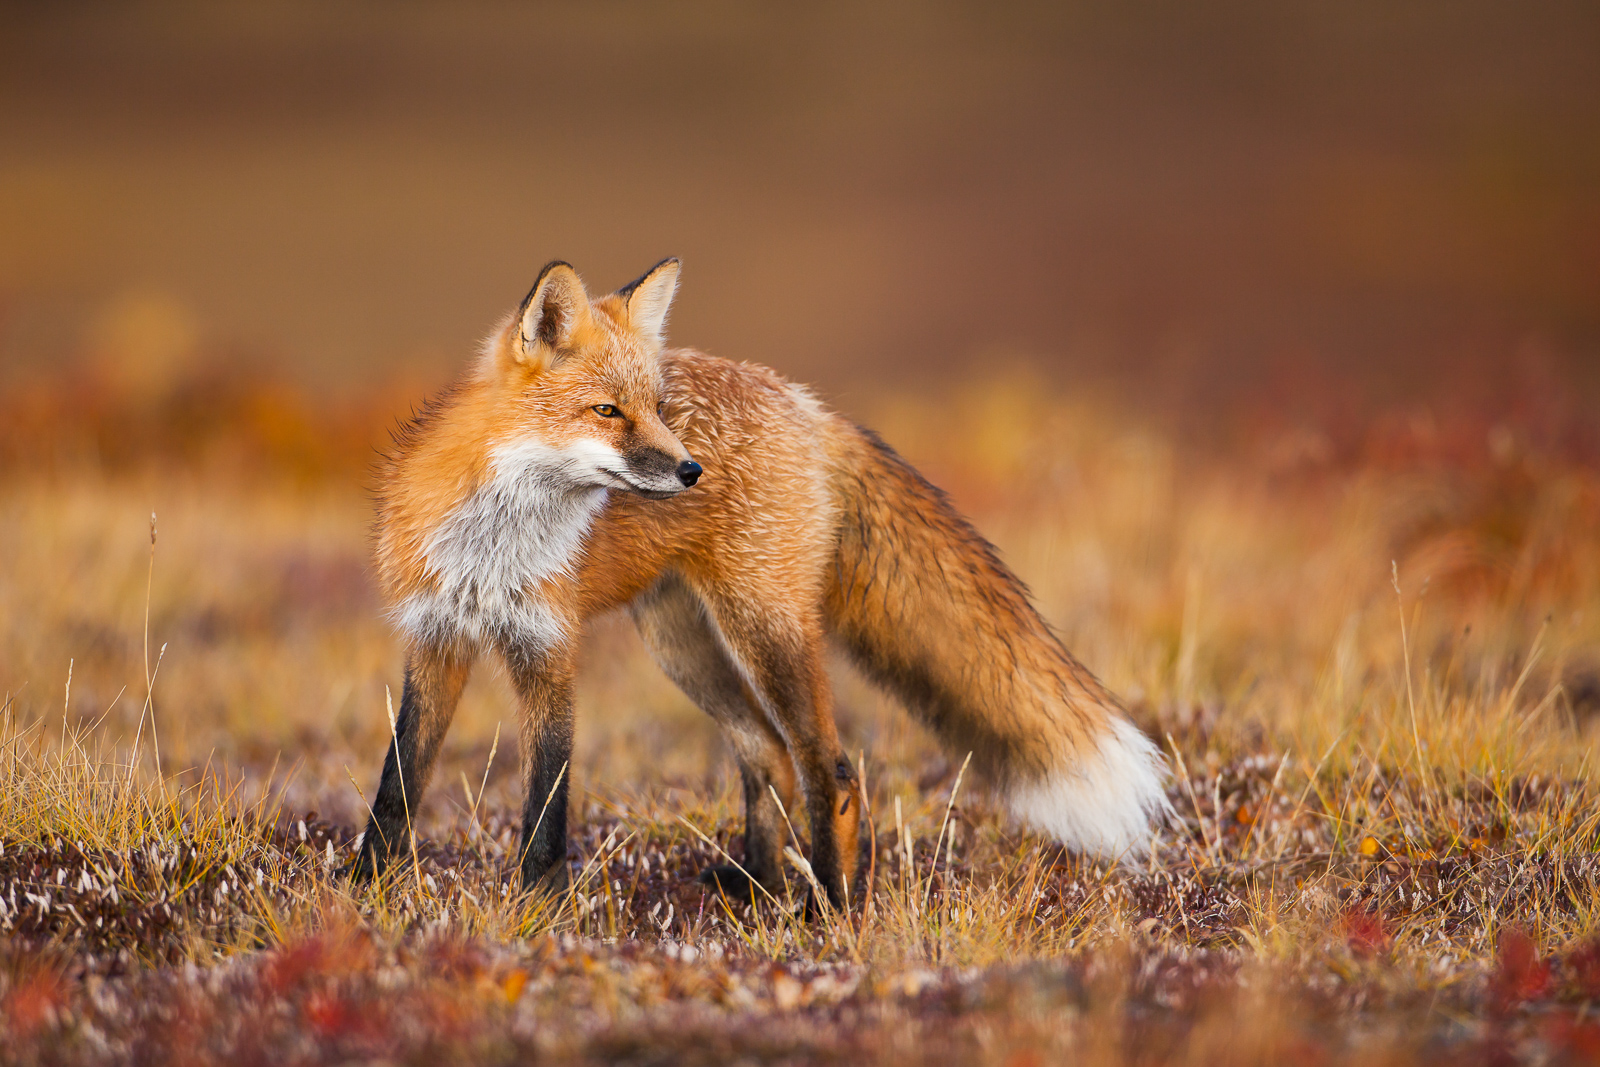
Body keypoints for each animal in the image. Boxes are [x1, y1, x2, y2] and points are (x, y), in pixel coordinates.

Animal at [353, 260, 1164, 908]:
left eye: (657, 406)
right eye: (608, 410)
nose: (690, 470)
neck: (495, 541)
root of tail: (806, 403)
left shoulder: (548, 648)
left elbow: (546, 806)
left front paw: (536, 912)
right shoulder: (436, 637)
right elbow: (398, 784)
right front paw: (368, 893)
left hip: (761, 627)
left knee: (830, 769)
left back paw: (828, 912)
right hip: (681, 644)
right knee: (766, 754)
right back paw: (759, 887)